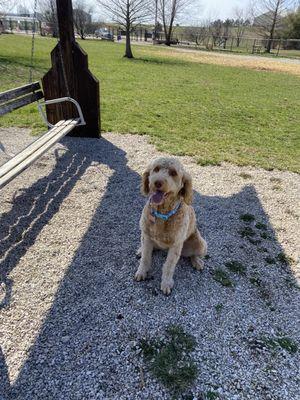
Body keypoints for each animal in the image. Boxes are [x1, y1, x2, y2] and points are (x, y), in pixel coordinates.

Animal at [135, 158, 207, 296]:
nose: (157, 182)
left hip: (200, 243)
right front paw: (141, 271)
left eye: (173, 173)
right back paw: (140, 250)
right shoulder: (147, 235)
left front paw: (166, 283)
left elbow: (169, 265)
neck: (162, 214)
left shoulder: (176, 245)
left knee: (194, 254)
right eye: (156, 169)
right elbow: (145, 258)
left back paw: (197, 261)